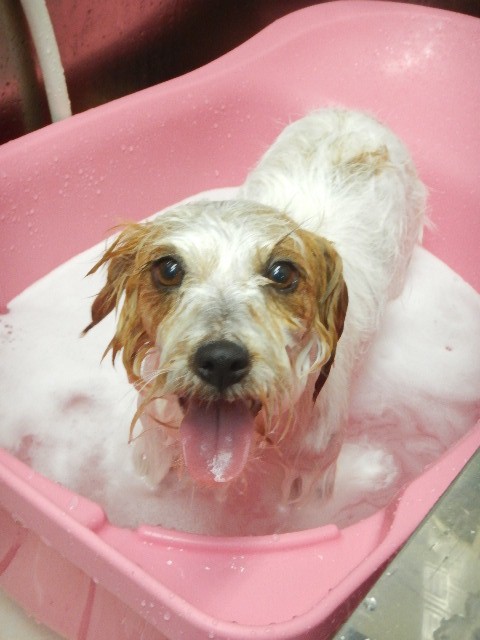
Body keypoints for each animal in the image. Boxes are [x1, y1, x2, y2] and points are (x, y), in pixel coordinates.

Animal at [84, 109, 426, 504]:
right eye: (168, 269)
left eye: (282, 273)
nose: (221, 360)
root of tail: (352, 114)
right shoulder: (153, 446)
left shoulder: (314, 472)